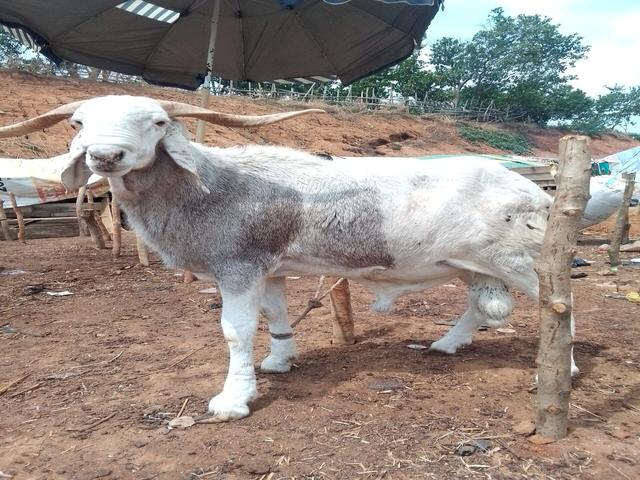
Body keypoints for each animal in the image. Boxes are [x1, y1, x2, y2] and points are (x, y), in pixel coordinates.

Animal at [0, 95, 578, 422]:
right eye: (76, 123)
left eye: (159, 122)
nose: (106, 156)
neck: (215, 186)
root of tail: (537, 191)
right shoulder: (269, 268)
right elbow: (274, 315)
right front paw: (279, 360)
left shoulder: (237, 267)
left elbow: (235, 332)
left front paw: (233, 399)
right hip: (470, 265)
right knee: (479, 307)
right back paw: (446, 344)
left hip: (522, 260)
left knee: (558, 306)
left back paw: (564, 370)